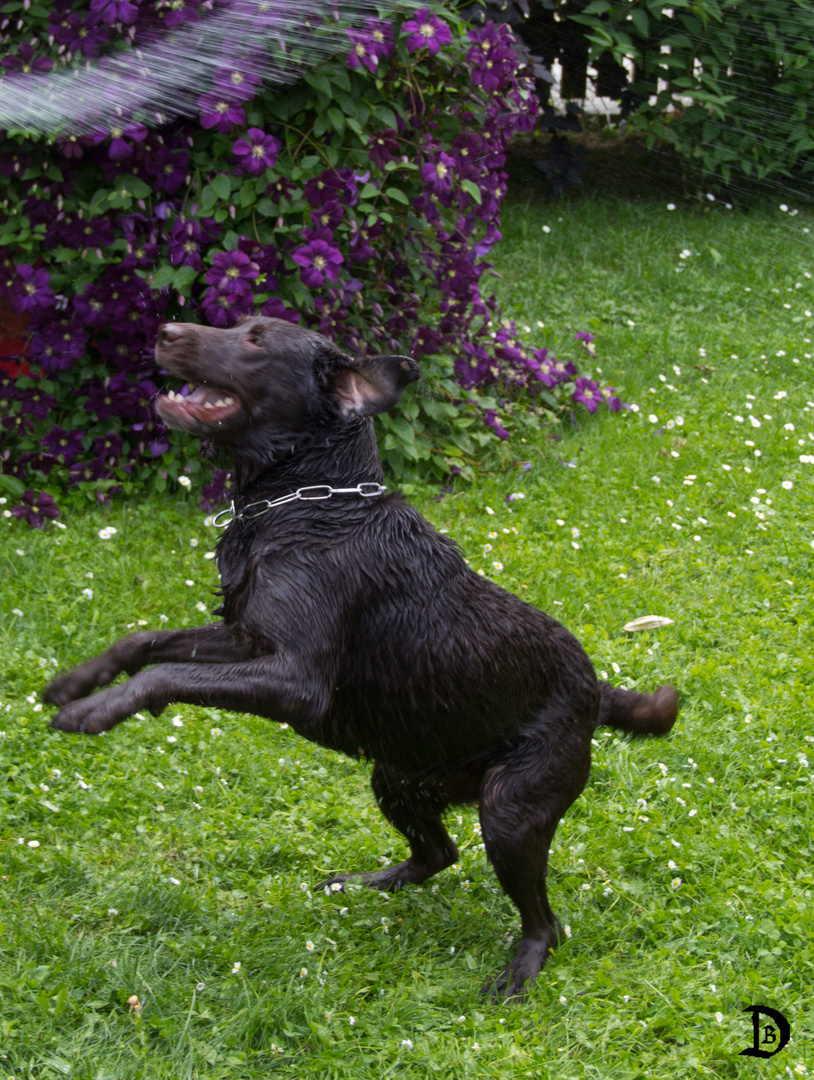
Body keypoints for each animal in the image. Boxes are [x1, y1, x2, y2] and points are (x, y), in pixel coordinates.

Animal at [45, 315, 677, 997]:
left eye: (255, 340)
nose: (164, 329)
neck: (312, 502)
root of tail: (596, 690)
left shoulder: (295, 678)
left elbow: (166, 670)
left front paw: (95, 710)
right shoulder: (243, 637)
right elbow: (145, 642)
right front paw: (79, 683)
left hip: (510, 809)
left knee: (546, 920)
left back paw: (518, 971)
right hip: (397, 777)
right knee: (438, 854)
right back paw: (369, 884)